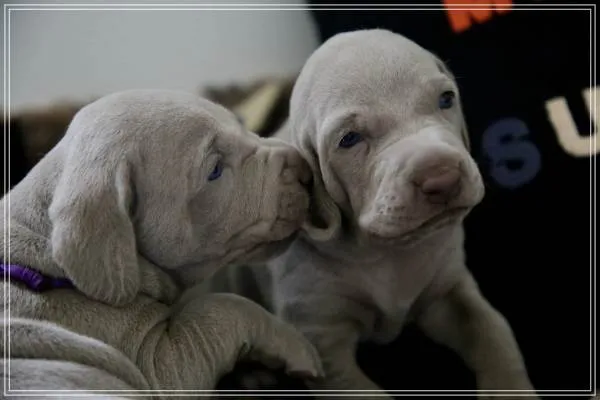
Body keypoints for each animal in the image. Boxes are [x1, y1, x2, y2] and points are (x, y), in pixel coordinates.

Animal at [0, 89, 323, 398]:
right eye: (215, 170)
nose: (306, 170)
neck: (50, 272)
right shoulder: (158, 361)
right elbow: (222, 307)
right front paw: (301, 350)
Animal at [218, 29, 536, 399]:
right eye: (350, 139)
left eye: (446, 99)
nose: (442, 179)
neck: (385, 250)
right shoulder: (319, 339)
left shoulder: (448, 291)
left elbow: (493, 332)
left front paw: (512, 388)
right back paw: (253, 375)